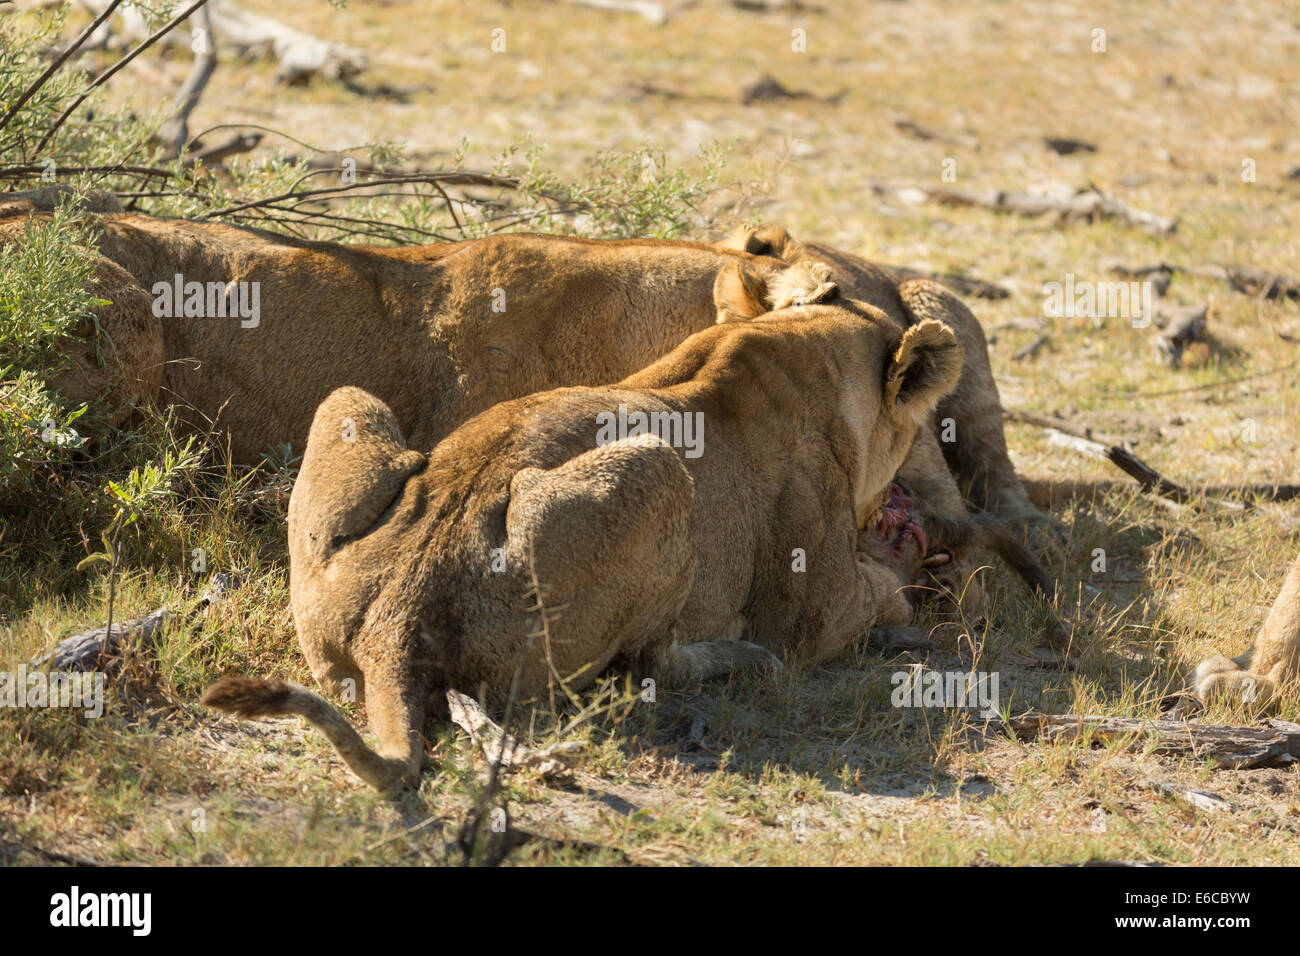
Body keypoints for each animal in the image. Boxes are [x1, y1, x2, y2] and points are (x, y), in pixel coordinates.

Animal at [200, 257, 967, 790]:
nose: (905, 503)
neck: (797, 343)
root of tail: (400, 617)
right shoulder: (814, 605)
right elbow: (875, 600)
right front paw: (904, 579)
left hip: (348, 410)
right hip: (659, 472)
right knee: (644, 665)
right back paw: (740, 657)